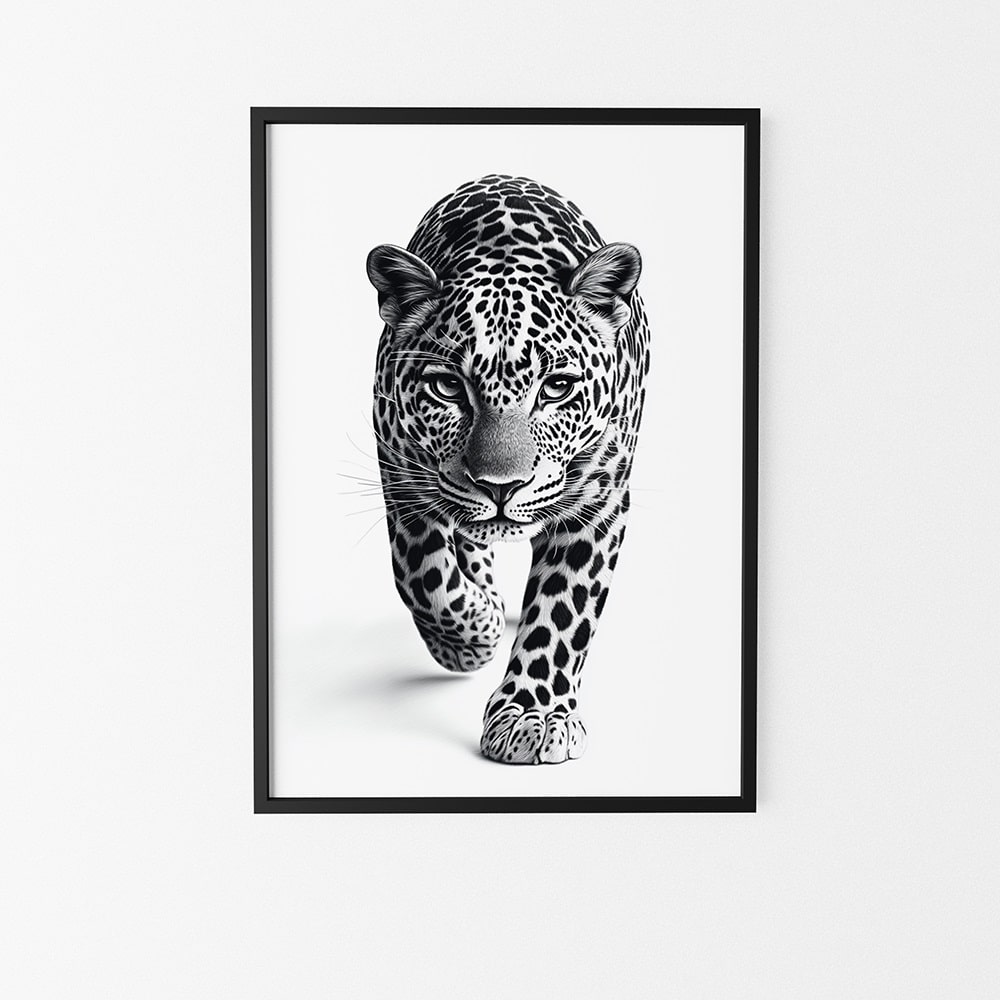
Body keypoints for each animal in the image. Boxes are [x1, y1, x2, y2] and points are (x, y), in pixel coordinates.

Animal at [365, 174, 650, 764]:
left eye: (557, 388)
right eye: (447, 387)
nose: (502, 487)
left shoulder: (599, 501)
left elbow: (562, 610)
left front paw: (533, 714)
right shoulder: (400, 474)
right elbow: (422, 574)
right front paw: (472, 638)